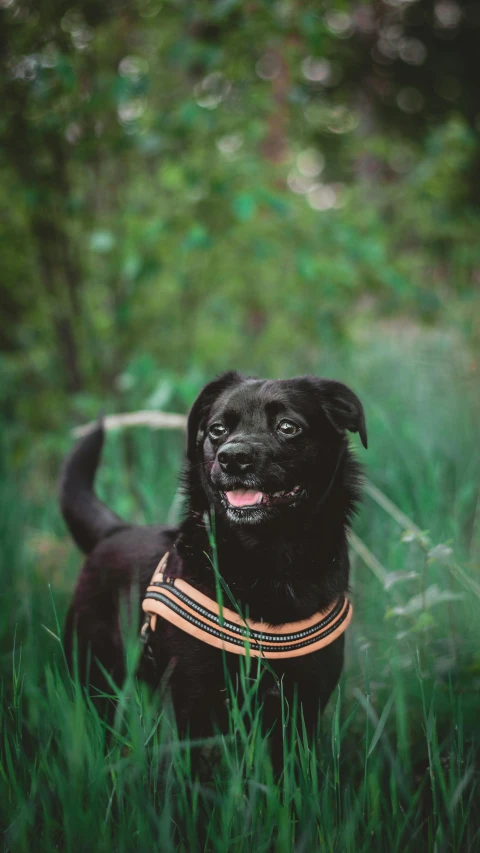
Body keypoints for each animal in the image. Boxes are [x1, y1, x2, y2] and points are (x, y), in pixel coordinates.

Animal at [61, 372, 368, 740]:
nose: (232, 457)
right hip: (94, 679)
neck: (268, 561)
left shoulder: (303, 706)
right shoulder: (193, 708)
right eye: (217, 430)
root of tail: (114, 531)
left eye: (288, 426)